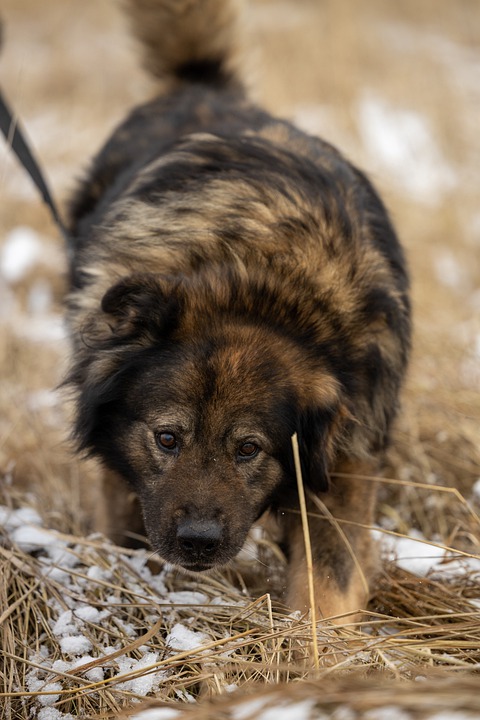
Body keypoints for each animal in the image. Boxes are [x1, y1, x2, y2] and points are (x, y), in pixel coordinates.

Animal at [65, 0, 410, 620]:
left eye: (249, 449)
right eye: (167, 439)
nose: (198, 542)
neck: (260, 286)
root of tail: (201, 83)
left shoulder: (343, 459)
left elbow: (330, 578)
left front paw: (312, 640)